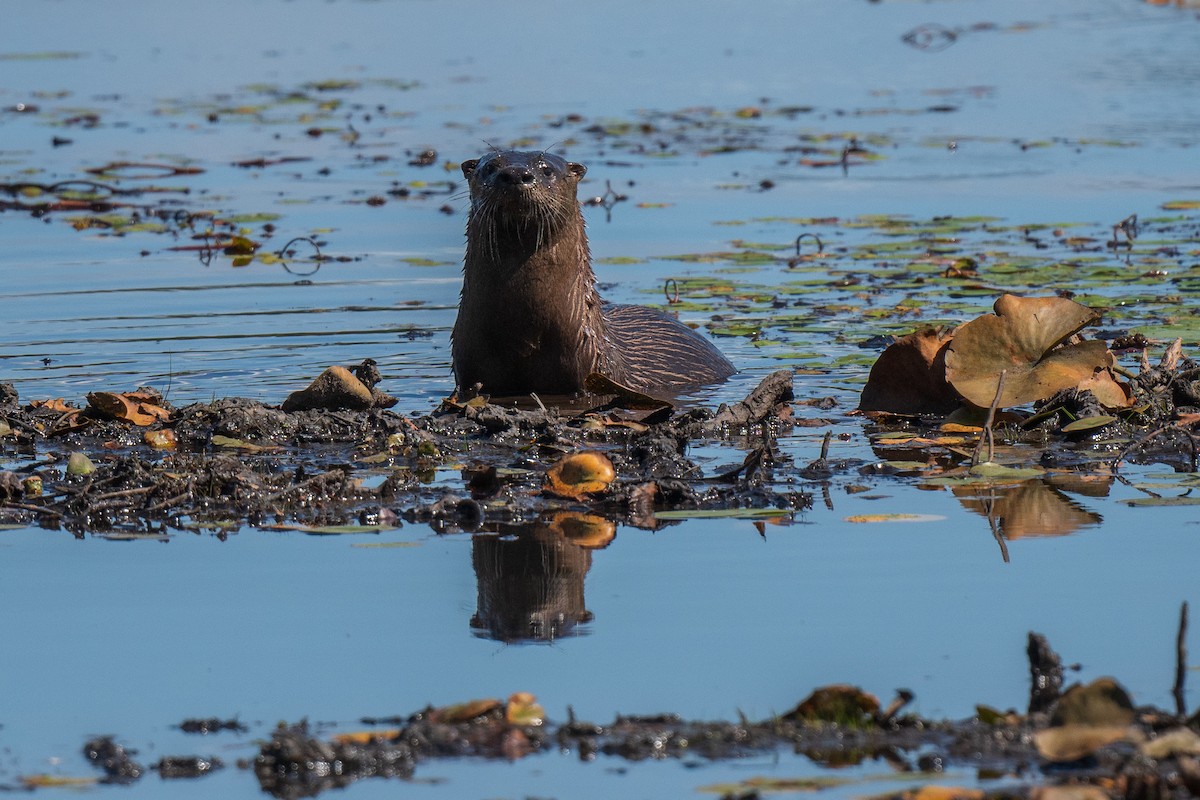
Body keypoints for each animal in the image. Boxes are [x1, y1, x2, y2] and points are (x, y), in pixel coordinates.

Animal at [451, 150, 735, 396]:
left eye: (547, 169)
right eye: (490, 167)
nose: (516, 174)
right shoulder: (467, 368)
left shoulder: (588, 367)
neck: (523, 330)